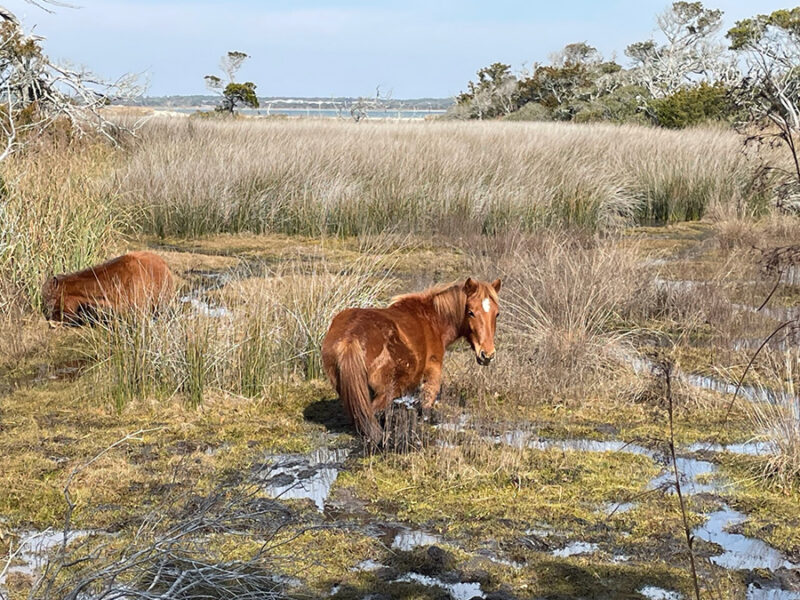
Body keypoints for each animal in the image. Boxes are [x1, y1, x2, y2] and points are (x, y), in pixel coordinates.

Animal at [321, 277, 501, 444]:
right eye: (470, 312)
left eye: (497, 313)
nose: (487, 355)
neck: (433, 319)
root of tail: (350, 338)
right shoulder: (432, 375)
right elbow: (426, 405)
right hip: (388, 391)